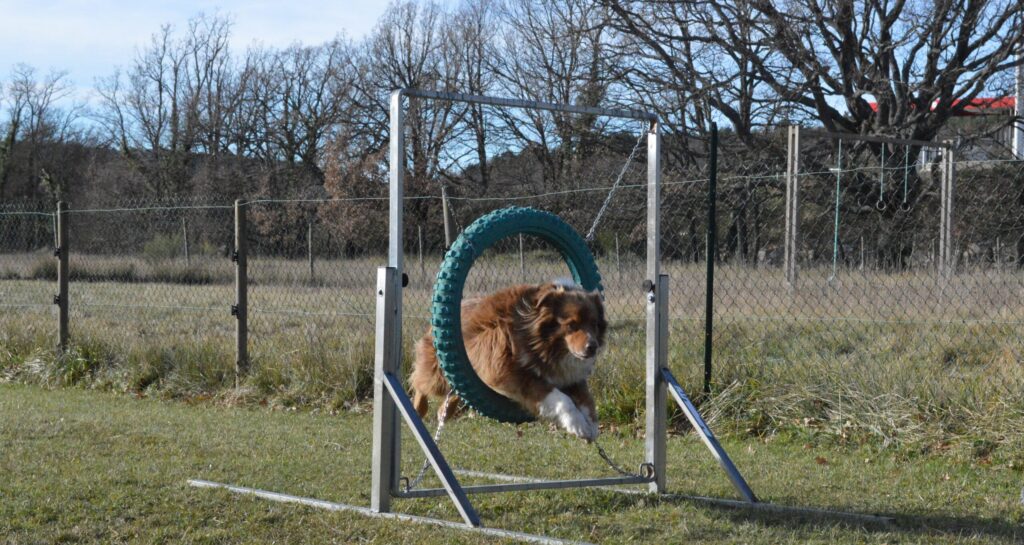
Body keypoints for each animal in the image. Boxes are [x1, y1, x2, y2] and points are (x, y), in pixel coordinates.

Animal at [409, 282, 606, 440]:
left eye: (594, 323)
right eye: (571, 324)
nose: (592, 347)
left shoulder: (568, 377)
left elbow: (586, 398)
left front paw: (591, 425)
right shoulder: (509, 371)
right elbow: (561, 398)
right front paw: (577, 424)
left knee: (455, 392)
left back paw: (444, 410)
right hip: (439, 370)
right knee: (421, 384)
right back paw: (418, 409)